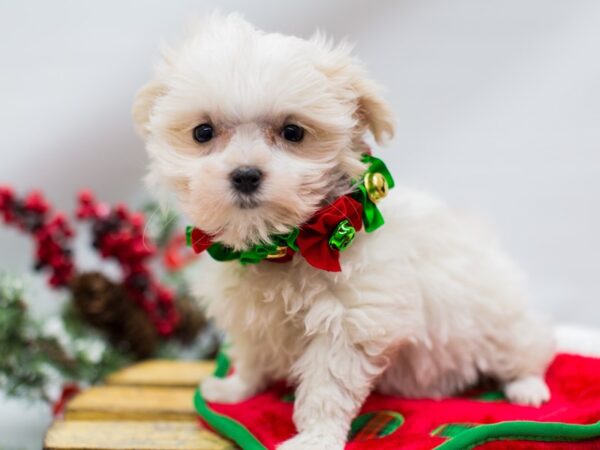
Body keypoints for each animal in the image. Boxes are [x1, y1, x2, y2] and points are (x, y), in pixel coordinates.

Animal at [134, 14, 556, 450]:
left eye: (293, 133)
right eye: (202, 133)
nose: (246, 174)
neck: (281, 246)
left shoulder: (348, 322)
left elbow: (327, 385)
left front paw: (314, 437)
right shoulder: (252, 315)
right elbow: (251, 354)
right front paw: (236, 389)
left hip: (503, 326)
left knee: (533, 353)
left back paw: (527, 389)